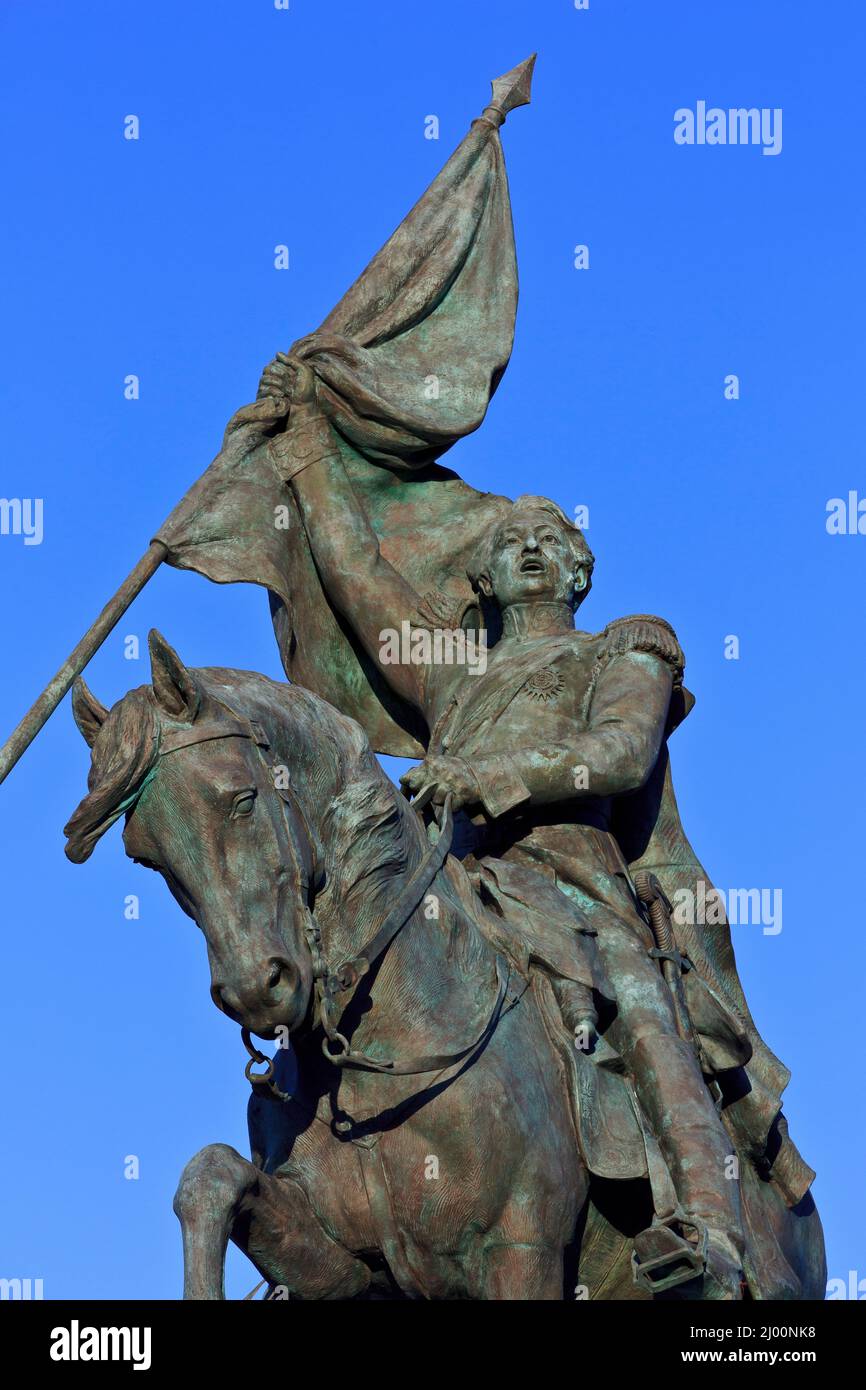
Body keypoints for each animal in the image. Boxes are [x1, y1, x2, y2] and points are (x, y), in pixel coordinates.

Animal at [62, 633, 828, 1301]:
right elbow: (212, 1176)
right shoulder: (348, 1270)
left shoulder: (519, 1255)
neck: (381, 1053)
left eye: (242, 798)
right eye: (144, 855)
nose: (257, 989)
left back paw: (706, 1247)